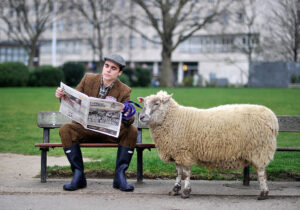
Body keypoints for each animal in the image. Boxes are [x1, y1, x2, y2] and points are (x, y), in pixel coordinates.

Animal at [138, 89, 278, 199]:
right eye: (144, 103)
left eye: (157, 103)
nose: (141, 117)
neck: (173, 119)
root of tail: (272, 118)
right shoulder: (177, 151)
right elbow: (178, 172)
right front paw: (175, 189)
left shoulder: (184, 151)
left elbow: (186, 173)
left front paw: (186, 192)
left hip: (259, 150)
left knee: (261, 172)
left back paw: (263, 193)